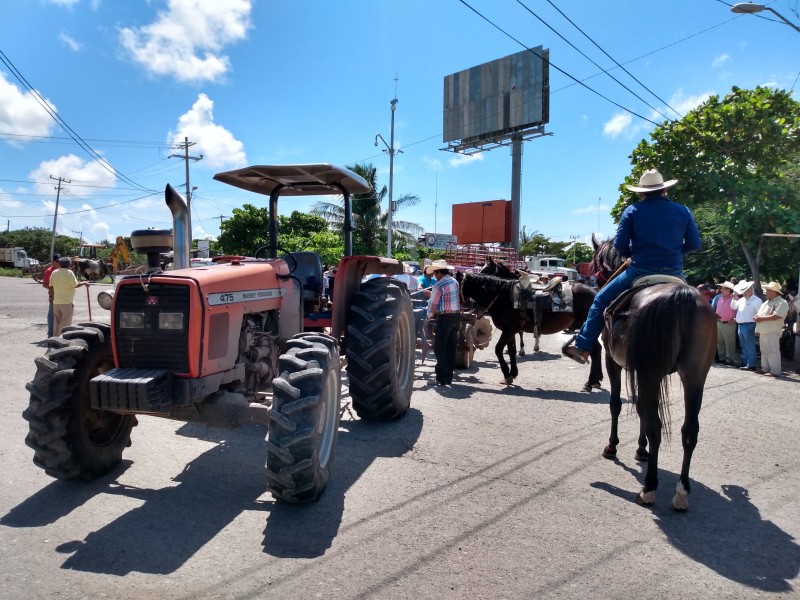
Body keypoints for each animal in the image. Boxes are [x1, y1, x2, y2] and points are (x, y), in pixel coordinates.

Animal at [456, 270, 600, 390]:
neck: (502, 296)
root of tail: (595, 291)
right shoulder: (512, 330)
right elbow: (512, 351)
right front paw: (513, 374)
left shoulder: (509, 329)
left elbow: (498, 349)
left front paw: (507, 374)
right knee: (597, 349)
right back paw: (595, 381)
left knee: (595, 349)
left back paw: (590, 382)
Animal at [592, 239, 716, 510]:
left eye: (595, 261)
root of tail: (682, 297)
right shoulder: (644, 372)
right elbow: (641, 409)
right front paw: (641, 450)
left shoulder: (614, 362)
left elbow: (617, 404)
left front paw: (612, 446)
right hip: (694, 377)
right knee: (689, 431)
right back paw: (681, 492)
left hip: (651, 373)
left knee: (656, 426)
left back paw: (649, 487)